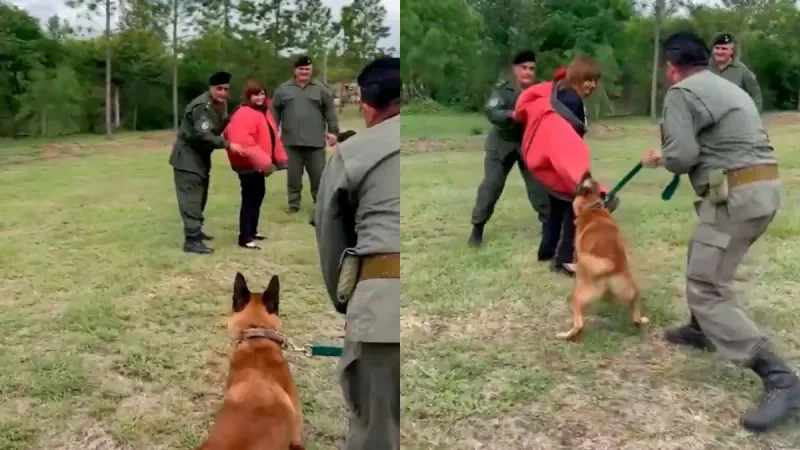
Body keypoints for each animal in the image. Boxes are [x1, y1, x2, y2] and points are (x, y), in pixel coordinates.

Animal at [556, 172, 648, 342]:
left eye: (581, 182)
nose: (587, 172)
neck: (592, 207)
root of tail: (612, 265)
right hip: (630, 289)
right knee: (635, 309)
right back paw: (640, 320)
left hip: (578, 296)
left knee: (579, 322)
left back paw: (566, 335)